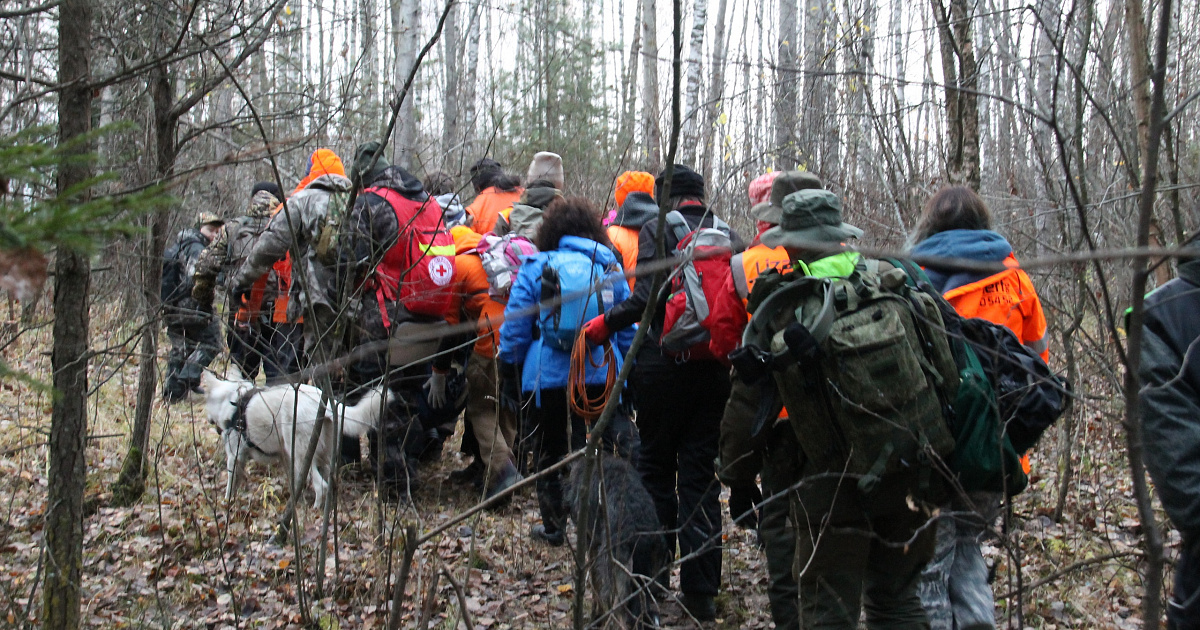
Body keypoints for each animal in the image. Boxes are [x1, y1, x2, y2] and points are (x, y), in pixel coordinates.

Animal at [201, 364, 388, 508]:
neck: (232, 400)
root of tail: (323, 404)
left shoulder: (235, 457)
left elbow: (230, 485)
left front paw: (227, 503)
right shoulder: (285, 457)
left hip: (303, 456)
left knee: (321, 486)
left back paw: (313, 510)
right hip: (322, 457)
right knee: (330, 483)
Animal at [568, 453, 672, 624]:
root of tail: (639, 534)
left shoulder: (592, 544)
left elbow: (595, 587)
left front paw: (595, 616)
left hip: (616, 582)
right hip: (650, 575)